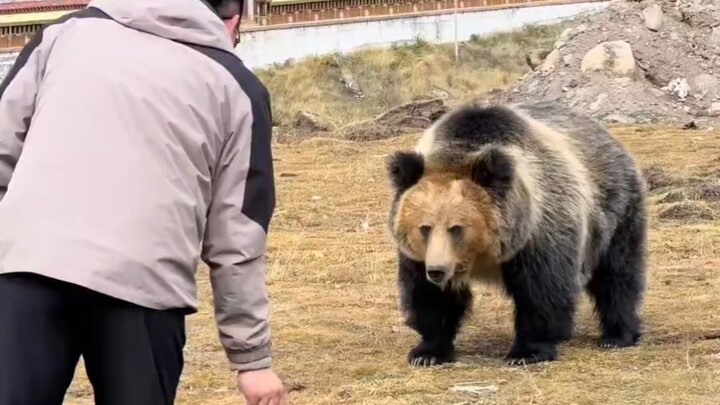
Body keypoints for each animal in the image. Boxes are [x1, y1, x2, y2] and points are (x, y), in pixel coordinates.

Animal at [384, 100, 647, 367]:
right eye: (424, 227)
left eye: (456, 228)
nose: (437, 271)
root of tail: (606, 135)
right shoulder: (419, 255)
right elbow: (430, 297)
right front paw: (427, 352)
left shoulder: (537, 229)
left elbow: (541, 290)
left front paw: (527, 352)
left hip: (614, 210)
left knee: (616, 275)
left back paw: (617, 335)